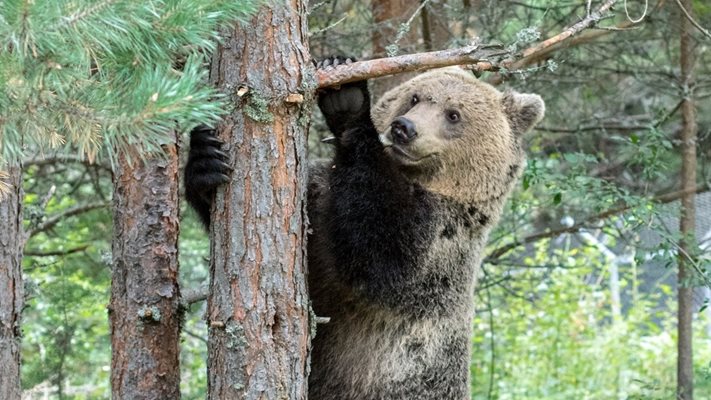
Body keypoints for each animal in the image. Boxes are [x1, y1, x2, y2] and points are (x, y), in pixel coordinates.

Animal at [185, 59, 544, 400]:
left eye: (453, 114)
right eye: (415, 97)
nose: (404, 128)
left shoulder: (439, 244)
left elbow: (382, 256)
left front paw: (351, 103)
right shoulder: (320, 197)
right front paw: (205, 158)